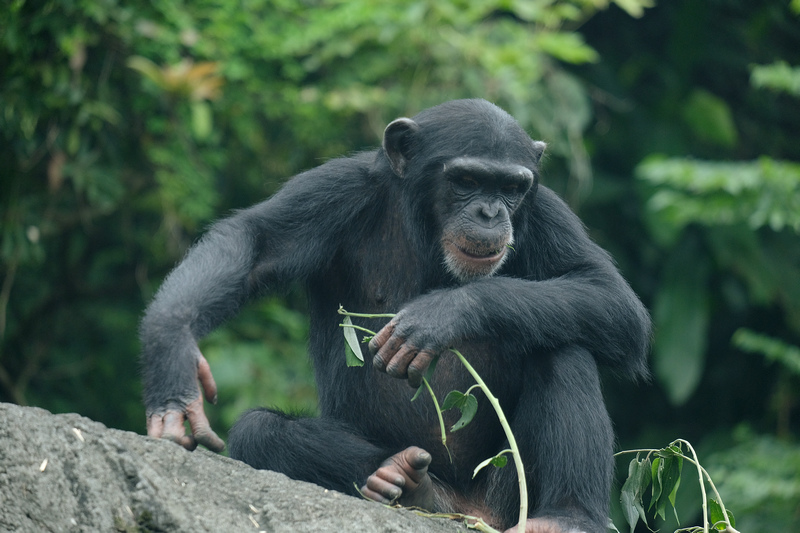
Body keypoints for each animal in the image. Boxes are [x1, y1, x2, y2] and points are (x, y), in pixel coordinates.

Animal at [139, 98, 648, 532]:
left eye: (510, 187)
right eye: (466, 181)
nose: (489, 213)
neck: (425, 226)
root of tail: (466, 514)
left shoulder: (543, 211)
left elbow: (611, 297)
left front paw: (442, 314)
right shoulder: (333, 188)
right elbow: (256, 245)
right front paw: (171, 353)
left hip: (506, 496)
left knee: (563, 347)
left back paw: (567, 517)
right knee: (257, 430)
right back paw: (396, 475)